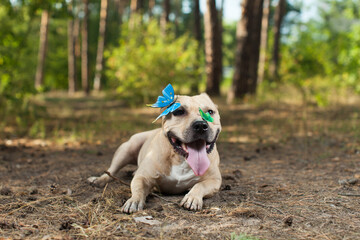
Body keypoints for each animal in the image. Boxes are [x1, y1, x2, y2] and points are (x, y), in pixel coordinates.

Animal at [88, 93, 222, 213]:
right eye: (179, 111)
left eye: (210, 112)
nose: (201, 125)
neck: (180, 159)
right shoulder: (143, 177)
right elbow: (138, 189)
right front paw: (134, 200)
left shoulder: (214, 180)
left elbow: (200, 185)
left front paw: (192, 197)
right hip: (127, 148)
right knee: (111, 170)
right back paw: (98, 180)